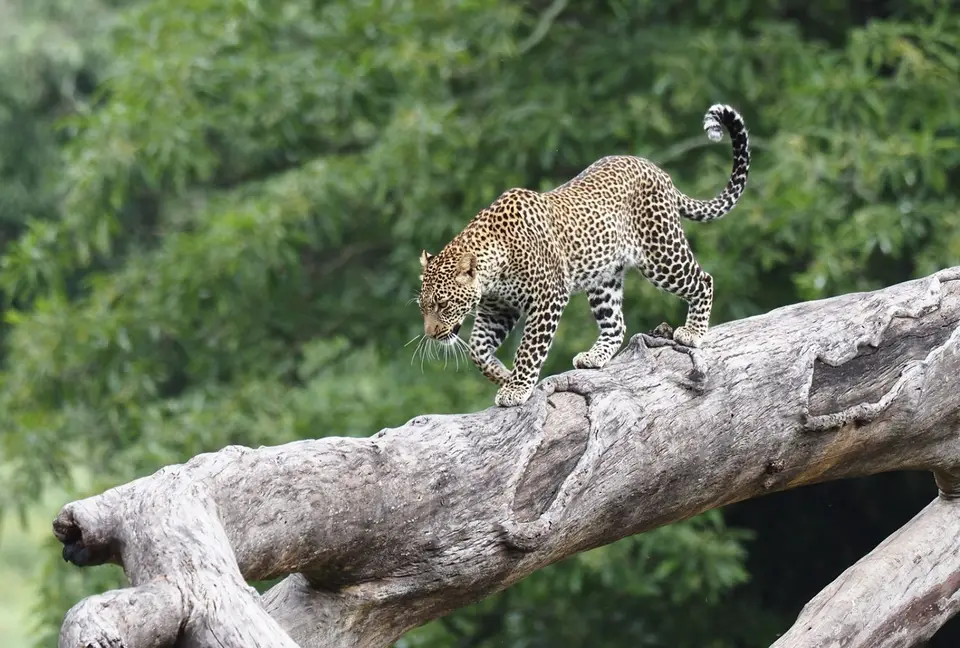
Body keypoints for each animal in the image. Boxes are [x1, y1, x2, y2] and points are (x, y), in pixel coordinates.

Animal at [416, 103, 750, 407]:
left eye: (443, 304)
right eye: (423, 307)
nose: (431, 334)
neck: (493, 269)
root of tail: (656, 169)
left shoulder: (548, 297)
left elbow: (529, 348)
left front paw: (517, 387)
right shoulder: (498, 308)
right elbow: (477, 348)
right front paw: (503, 375)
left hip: (661, 254)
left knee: (703, 280)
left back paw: (693, 332)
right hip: (604, 279)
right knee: (616, 324)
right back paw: (594, 356)